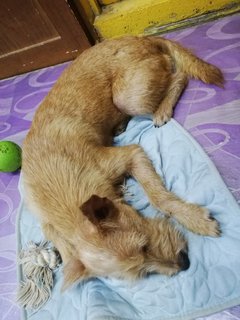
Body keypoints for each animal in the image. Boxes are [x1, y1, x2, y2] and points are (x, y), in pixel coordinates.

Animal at [22, 36, 223, 288]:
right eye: (144, 272)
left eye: (144, 244)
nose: (184, 263)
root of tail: (141, 38)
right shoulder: (45, 222)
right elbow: (59, 244)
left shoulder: (131, 154)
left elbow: (159, 198)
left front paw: (194, 219)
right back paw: (120, 125)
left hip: (128, 97)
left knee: (179, 76)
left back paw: (162, 109)